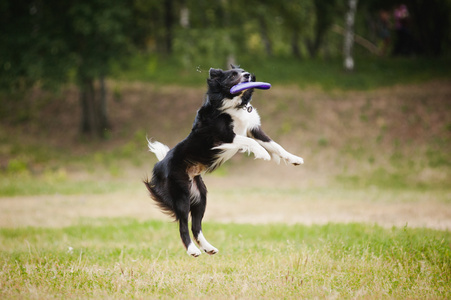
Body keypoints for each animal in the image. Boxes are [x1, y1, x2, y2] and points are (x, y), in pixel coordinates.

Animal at [146, 65, 304, 255]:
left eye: (244, 71)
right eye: (233, 75)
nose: (247, 75)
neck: (235, 103)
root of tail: (160, 164)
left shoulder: (254, 129)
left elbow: (276, 145)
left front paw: (294, 159)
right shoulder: (224, 137)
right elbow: (251, 143)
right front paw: (263, 154)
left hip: (200, 195)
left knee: (196, 225)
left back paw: (208, 248)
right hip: (181, 194)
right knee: (183, 224)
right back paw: (193, 250)